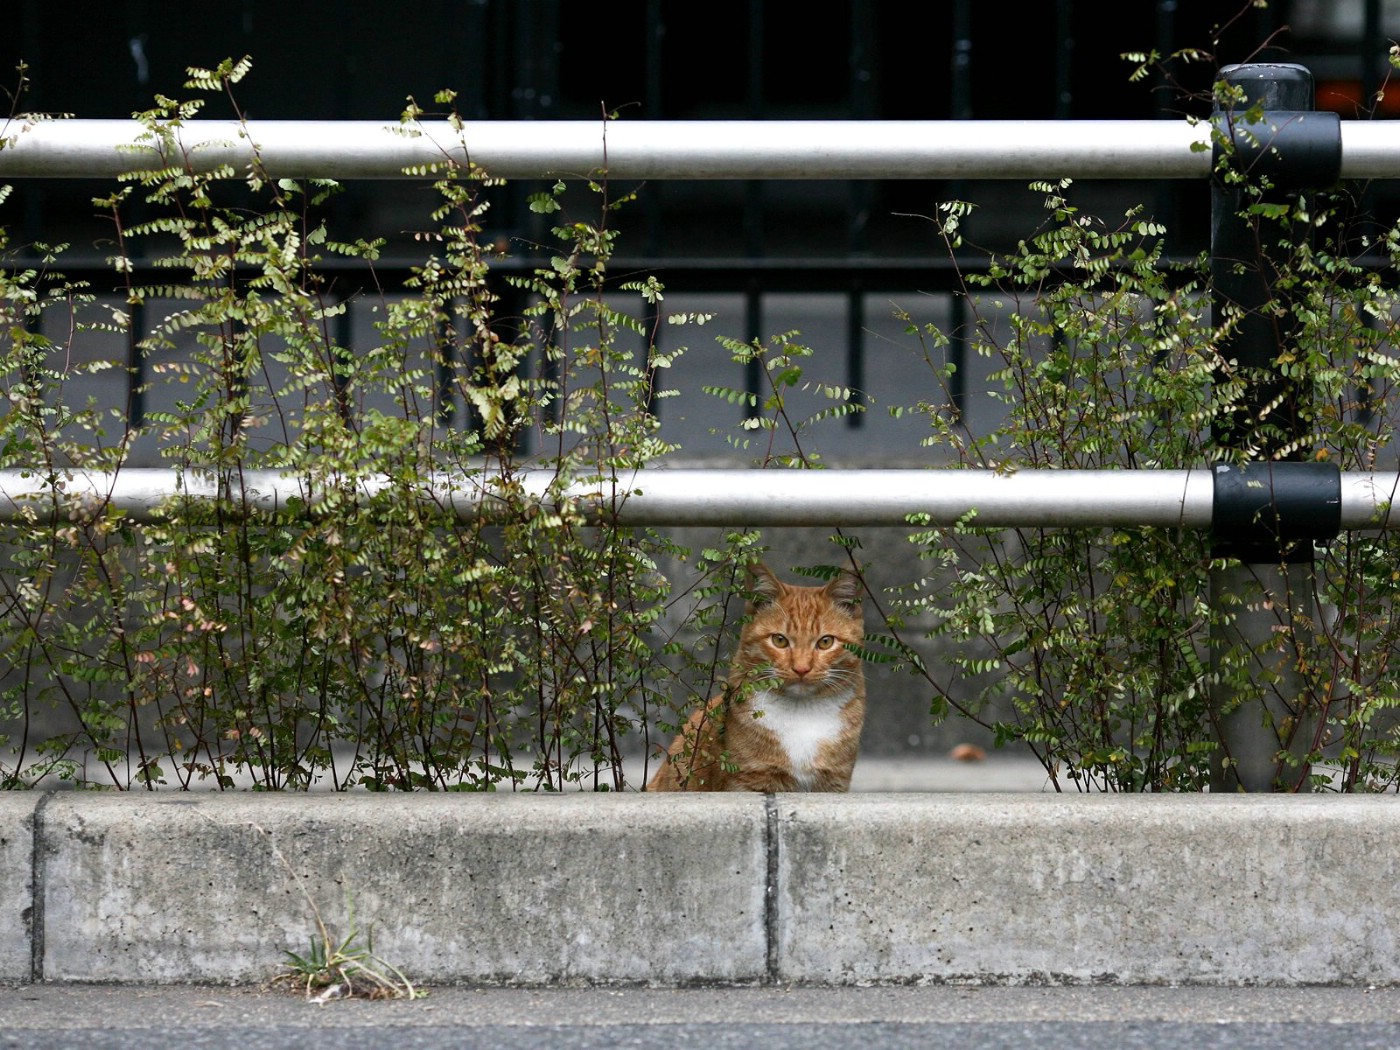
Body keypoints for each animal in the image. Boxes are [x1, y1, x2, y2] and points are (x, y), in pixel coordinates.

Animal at [646, 562, 862, 795]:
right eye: (779, 640)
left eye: (825, 642)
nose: (801, 668)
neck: (802, 713)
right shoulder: (748, 782)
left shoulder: (833, 782)